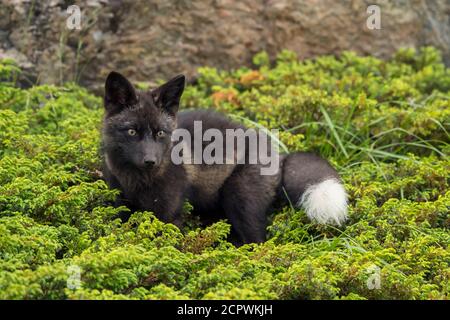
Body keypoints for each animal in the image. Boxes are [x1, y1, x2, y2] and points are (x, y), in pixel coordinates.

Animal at [102, 72, 348, 245]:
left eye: (160, 133)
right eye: (132, 131)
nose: (151, 162)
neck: (136, 181)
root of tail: (279, 155)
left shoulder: (168, 213)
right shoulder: (119, 205)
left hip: (239, 199)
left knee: (259, 241)